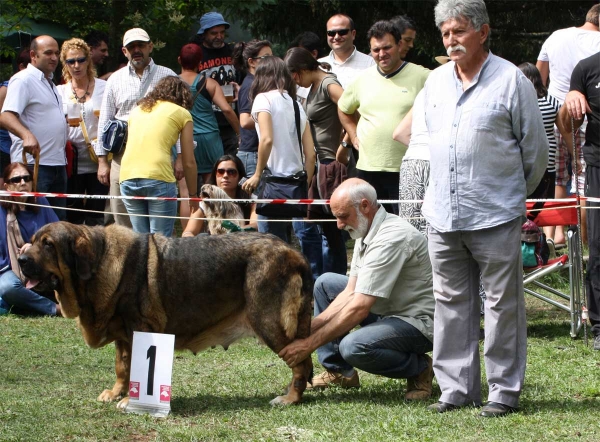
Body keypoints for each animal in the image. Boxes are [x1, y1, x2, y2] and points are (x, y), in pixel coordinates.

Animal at [18, 223, 314, 410]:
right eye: (32, 242)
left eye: (48, 245)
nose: (20, 259)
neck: (99, 261)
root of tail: (294, 252)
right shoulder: (123, 335)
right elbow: (122, 366)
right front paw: (116, 392)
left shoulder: (138, 329)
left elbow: (133, 366)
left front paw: (131, 400)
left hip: (270, 322)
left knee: (300, 361)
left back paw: (290, 398)